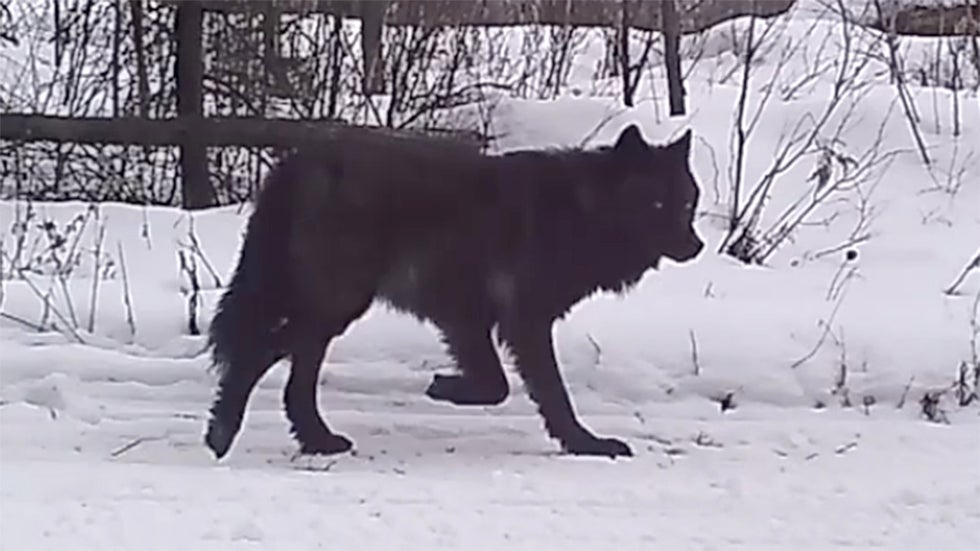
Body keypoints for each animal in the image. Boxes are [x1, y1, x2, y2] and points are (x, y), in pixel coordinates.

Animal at [204, 124, 704, 460]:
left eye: (686, 202)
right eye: (657, 202)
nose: (697, 246)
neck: (582, 211)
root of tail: (301, 161)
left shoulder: (467, 319)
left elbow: (496, 385)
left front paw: (447, 386)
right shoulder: (523, 321)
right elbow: (549, 394)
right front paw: (585, 443)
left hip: (328, 309)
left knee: (295, 377)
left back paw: (318, 439)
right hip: (336, 304)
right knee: (257, 353)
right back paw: (223, 433)